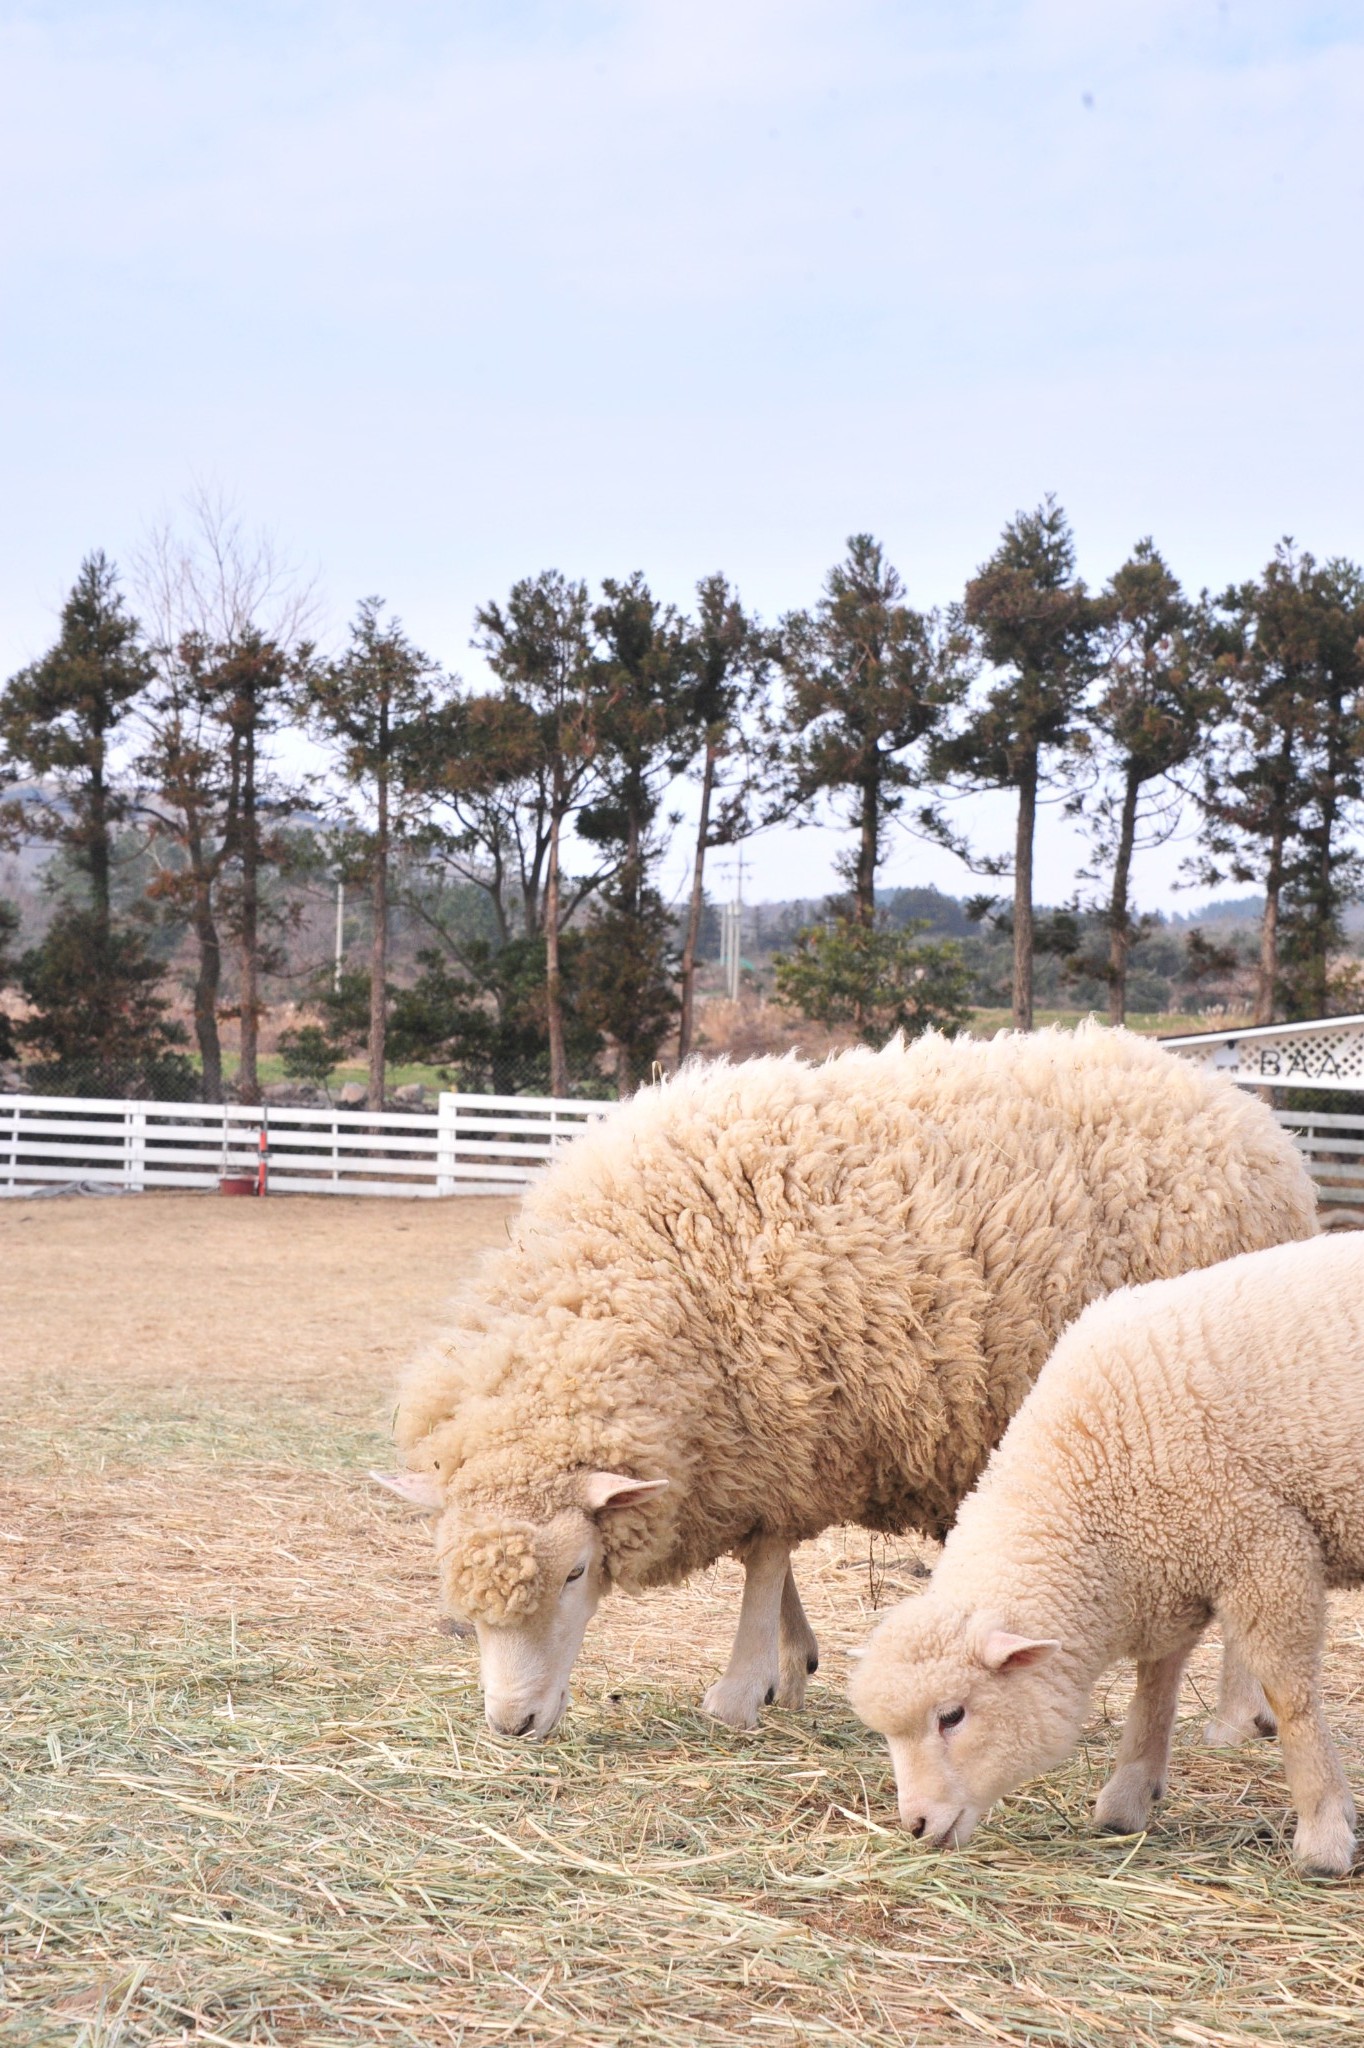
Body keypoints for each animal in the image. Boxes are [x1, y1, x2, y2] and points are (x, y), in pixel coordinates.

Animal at [376, 1024, 1310, 1744]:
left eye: (575, 1574)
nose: (513, 1725)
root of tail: (1255, 1120)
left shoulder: (784, 1417)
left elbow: (764, 1558)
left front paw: (742, 1687)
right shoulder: (757, 1437)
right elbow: (773, 1556)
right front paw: (792, 1664)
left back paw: (1238, 1718)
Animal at [843, 1220, 1359, 1875]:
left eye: (952, 1716)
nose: (914, 1826)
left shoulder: (1263, 1545)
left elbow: (1289, 1696)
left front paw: (1324, 1831)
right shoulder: (1174, 1554)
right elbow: (1155, 1682)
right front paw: (1128, 1796)